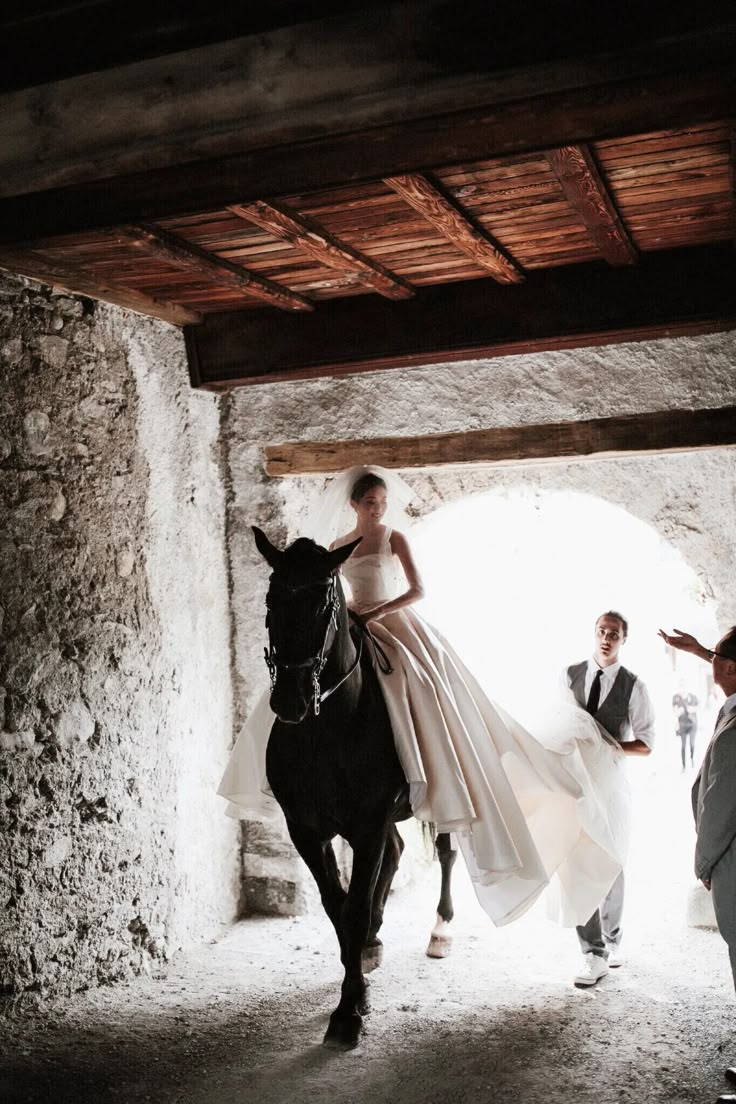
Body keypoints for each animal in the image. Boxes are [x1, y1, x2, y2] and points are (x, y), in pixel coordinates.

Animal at [256, 529, 456, 1046]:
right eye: (269, 600)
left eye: (325, 604)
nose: (289, 701)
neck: (324, 732)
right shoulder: (306, 829)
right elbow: (337, 905)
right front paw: (356, 980)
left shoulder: (367, 823)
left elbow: (355, 907)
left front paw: (349, 1011)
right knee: (398, 850)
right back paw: (371, 943)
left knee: (444, 853)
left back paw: (441, 931)